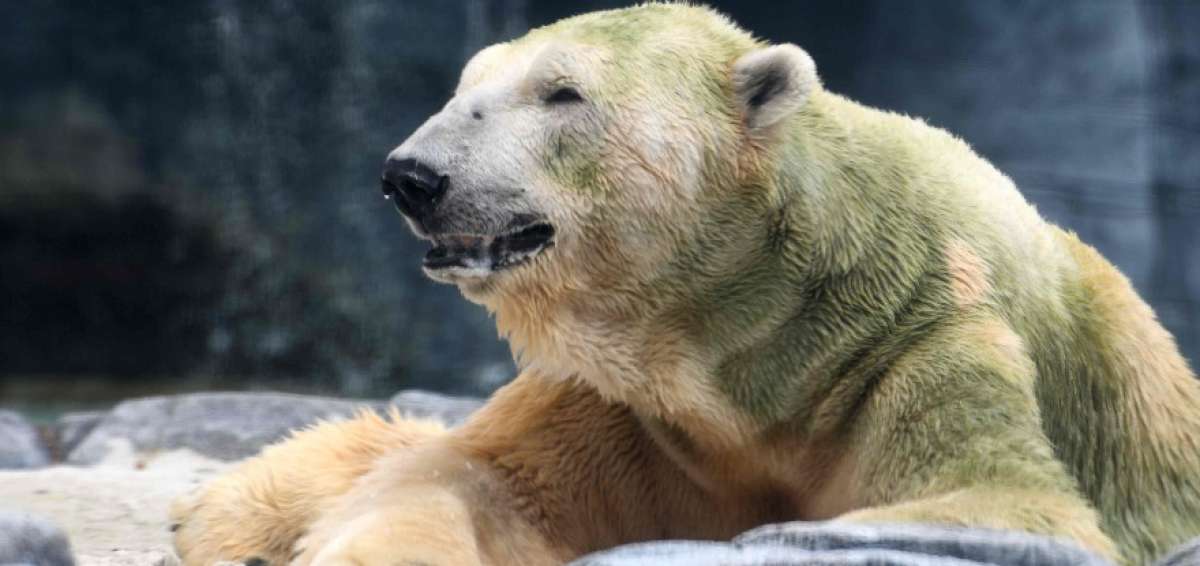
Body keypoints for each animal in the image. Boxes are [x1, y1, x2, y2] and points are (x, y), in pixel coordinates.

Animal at [169, 4, 1200, 565]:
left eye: (561, 93)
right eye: (465, 87)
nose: (413, 176)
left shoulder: (926, 347)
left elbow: (996, 500)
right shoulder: (632, 403)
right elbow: (473, 482)